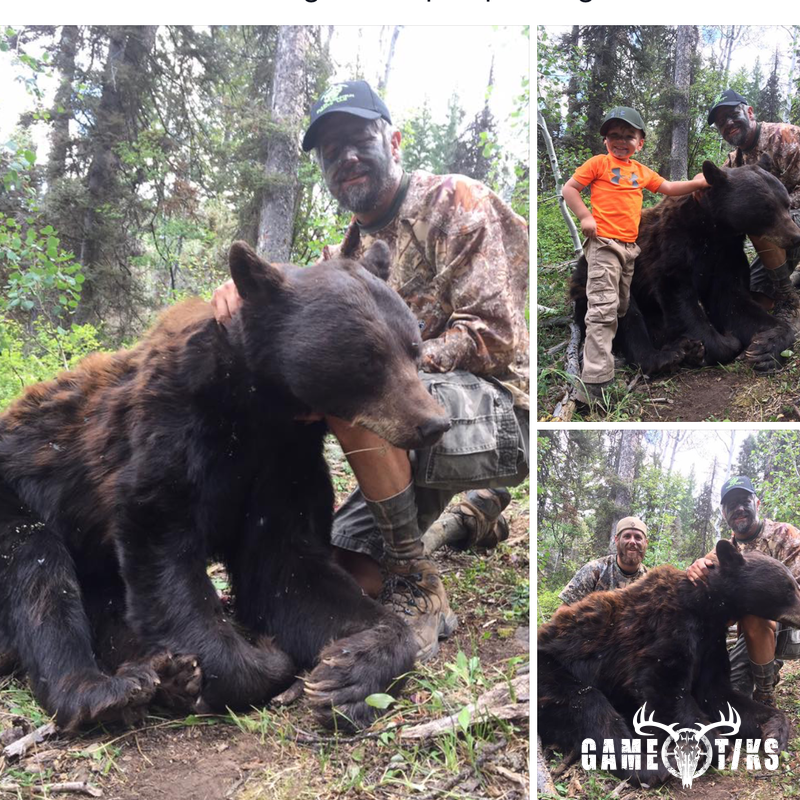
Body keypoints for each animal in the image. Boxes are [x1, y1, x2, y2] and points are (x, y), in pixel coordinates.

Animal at [0, 239, 451, 733]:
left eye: (413, 346)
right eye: (368, 357)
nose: (434, 422)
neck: (257, 406)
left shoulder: (284, 461)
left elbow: (288, 570)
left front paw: (347, 672)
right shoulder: (171, 433)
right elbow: (163, 556)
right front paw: (256, 659)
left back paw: (159, 675)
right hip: (20, 497)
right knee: (38, 573)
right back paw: (104, 691)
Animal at [538, 539, 800, 786]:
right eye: (790, 587)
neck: (706, 606)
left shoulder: (711, 643)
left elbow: (718, 694)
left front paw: (773, 731)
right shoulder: (668, 627)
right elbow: (663, 689)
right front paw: (718, 744)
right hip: (551, 669)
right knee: (589, 705)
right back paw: (653, 768)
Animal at [570, 159, 800, 375]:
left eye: (787, 204)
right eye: (766, 208)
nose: (795, 236)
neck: (712, 229)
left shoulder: (726, 255)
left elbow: (733, 302)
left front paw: (765, 348)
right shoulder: (672, 247)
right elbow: (680, 300)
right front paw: (719, 344)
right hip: (598, 276)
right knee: (624, 313)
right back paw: (665, 356)